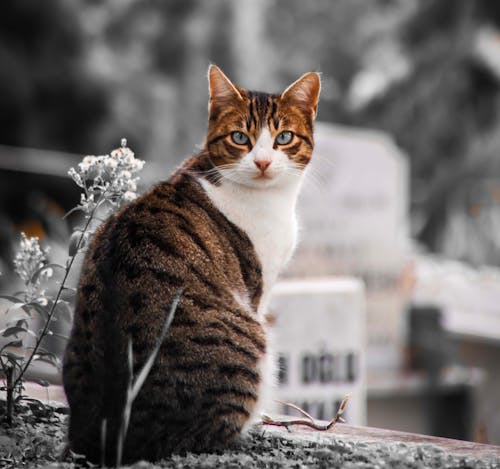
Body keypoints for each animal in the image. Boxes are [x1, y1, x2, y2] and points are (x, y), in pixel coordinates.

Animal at [62, 66, 320, 464]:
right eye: (240, 137)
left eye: (284, 137)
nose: (262, 162)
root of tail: (109, 436)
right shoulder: (258, 290)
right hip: (251, 343)